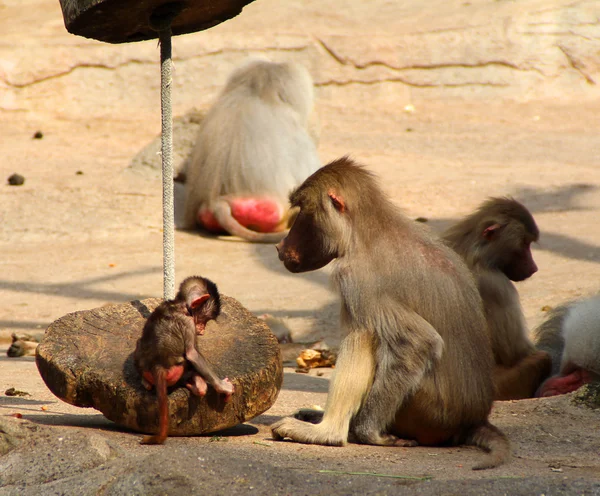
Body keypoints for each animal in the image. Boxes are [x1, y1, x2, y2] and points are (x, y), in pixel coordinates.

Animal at [134, 276, 234, 446]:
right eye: (205, 319)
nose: (203, 329)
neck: (180, 305)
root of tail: (157, 366)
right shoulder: (188, 322)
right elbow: (192, 354)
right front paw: (223, 387)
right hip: (176, 371)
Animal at [272, 158, 510, 468]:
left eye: (302, 211)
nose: (280, 246)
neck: (367, 232)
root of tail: (471, 420)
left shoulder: (357, 279)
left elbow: (418, 342)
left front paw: (368, 433)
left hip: (425, 412)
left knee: (365, 335)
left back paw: (328, 432)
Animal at [442, 197, 552, 400]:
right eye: (524, 243)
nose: (534, 268)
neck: (473, 249)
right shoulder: (497, 285)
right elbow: (515, 352)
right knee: (543, 358)